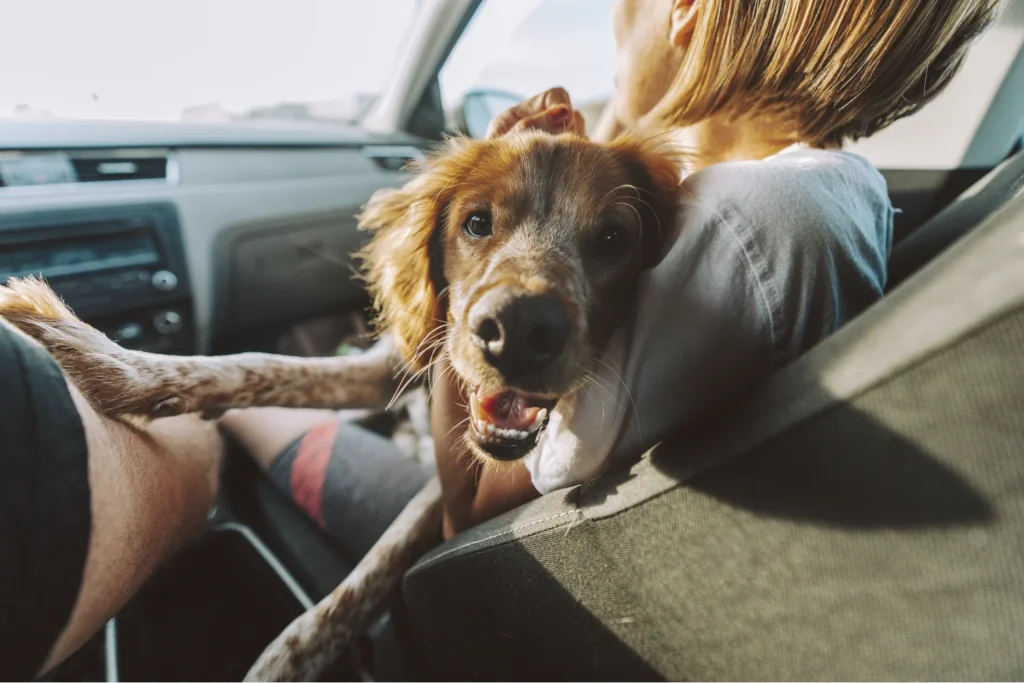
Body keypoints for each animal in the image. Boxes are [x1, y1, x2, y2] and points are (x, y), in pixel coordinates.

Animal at [0, 129, 679, 683]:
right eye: (477, 222)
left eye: (614, 237)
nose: (519, 328)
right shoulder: (388, 369)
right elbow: (253, 366)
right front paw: (104, 361)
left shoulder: (444, 481)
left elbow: (369, 575)